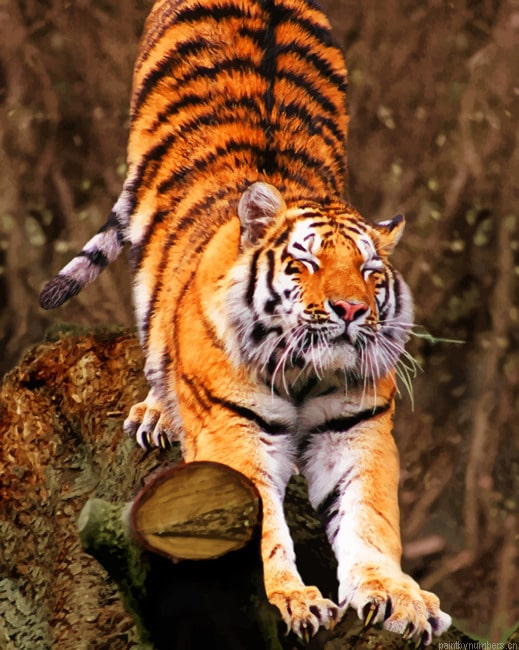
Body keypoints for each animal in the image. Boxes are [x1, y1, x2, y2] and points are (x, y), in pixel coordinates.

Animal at [39, 0, 451, 643]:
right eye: (306, 263)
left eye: (369, 272)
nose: (351, 310)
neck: (308, 372)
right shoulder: (233, 433)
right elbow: (260, 527)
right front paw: (290, 600)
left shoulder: (357, 430)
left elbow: (371, 519)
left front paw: (398, 597)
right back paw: (158, 411)